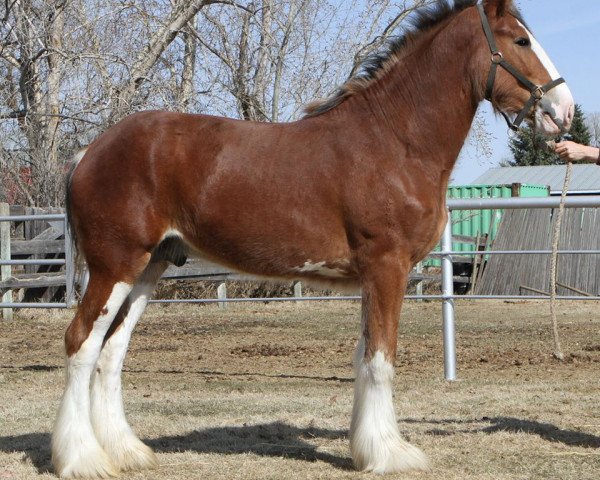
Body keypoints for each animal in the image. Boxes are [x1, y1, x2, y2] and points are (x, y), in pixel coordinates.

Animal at [54, 0, 576, 476]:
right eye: (520, 40)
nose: (564, 111)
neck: (394, 141)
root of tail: (88, 152)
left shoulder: (373, 277)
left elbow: (364, 358)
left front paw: (366, 448)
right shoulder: (388, 267)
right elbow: (381, 359)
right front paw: (390, 455)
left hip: (151, 266)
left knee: (111, 351)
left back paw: (126, 453)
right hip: (115, 265)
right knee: (82, 343)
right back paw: (82, 460)